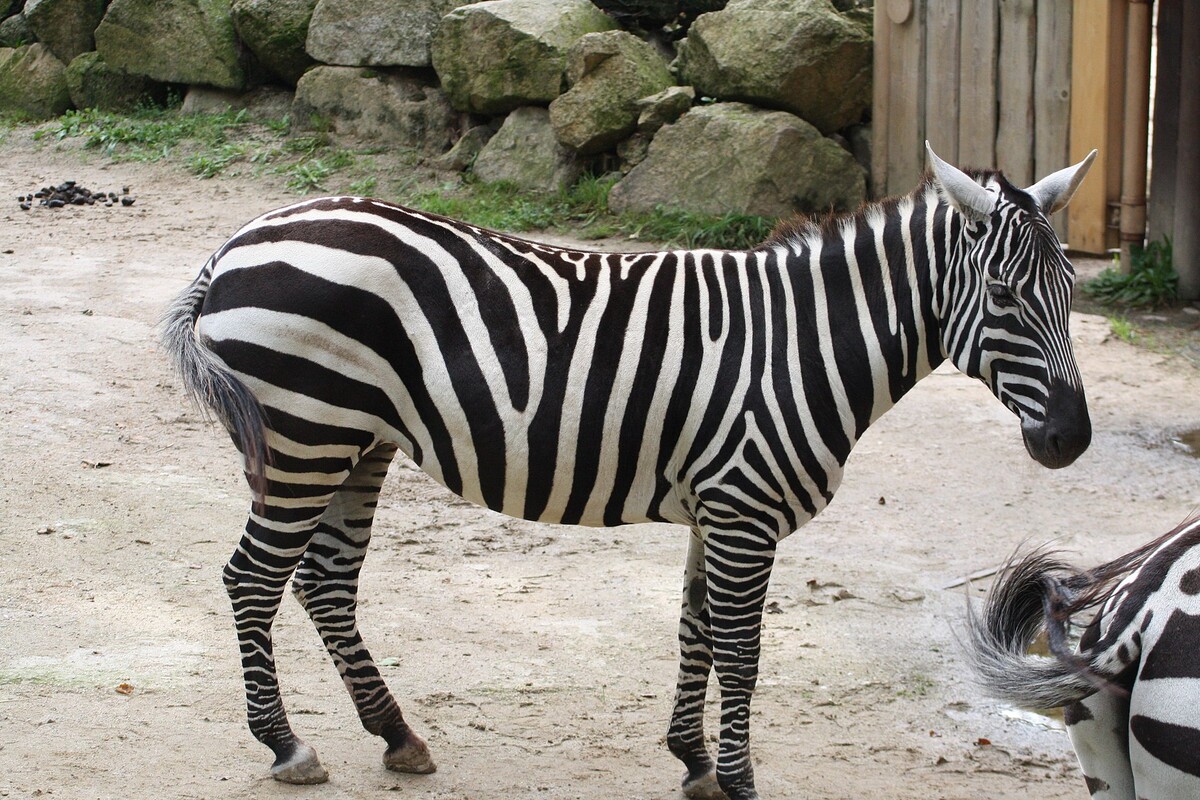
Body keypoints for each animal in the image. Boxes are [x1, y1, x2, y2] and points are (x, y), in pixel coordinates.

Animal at [164, 145, 1099, 800]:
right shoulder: (745, 510)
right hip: (304, 435)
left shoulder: (716, 508)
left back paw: (396, 735)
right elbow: (743, 651)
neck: (801, 345)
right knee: (251, 578)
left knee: (323, 583)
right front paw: (740, 778)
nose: (1071, 440)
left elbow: (695, 631)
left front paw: (693, 761)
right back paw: (287, 745)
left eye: (1073, 291)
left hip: (357, 442)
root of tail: (240, 241)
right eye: (1006, 298)